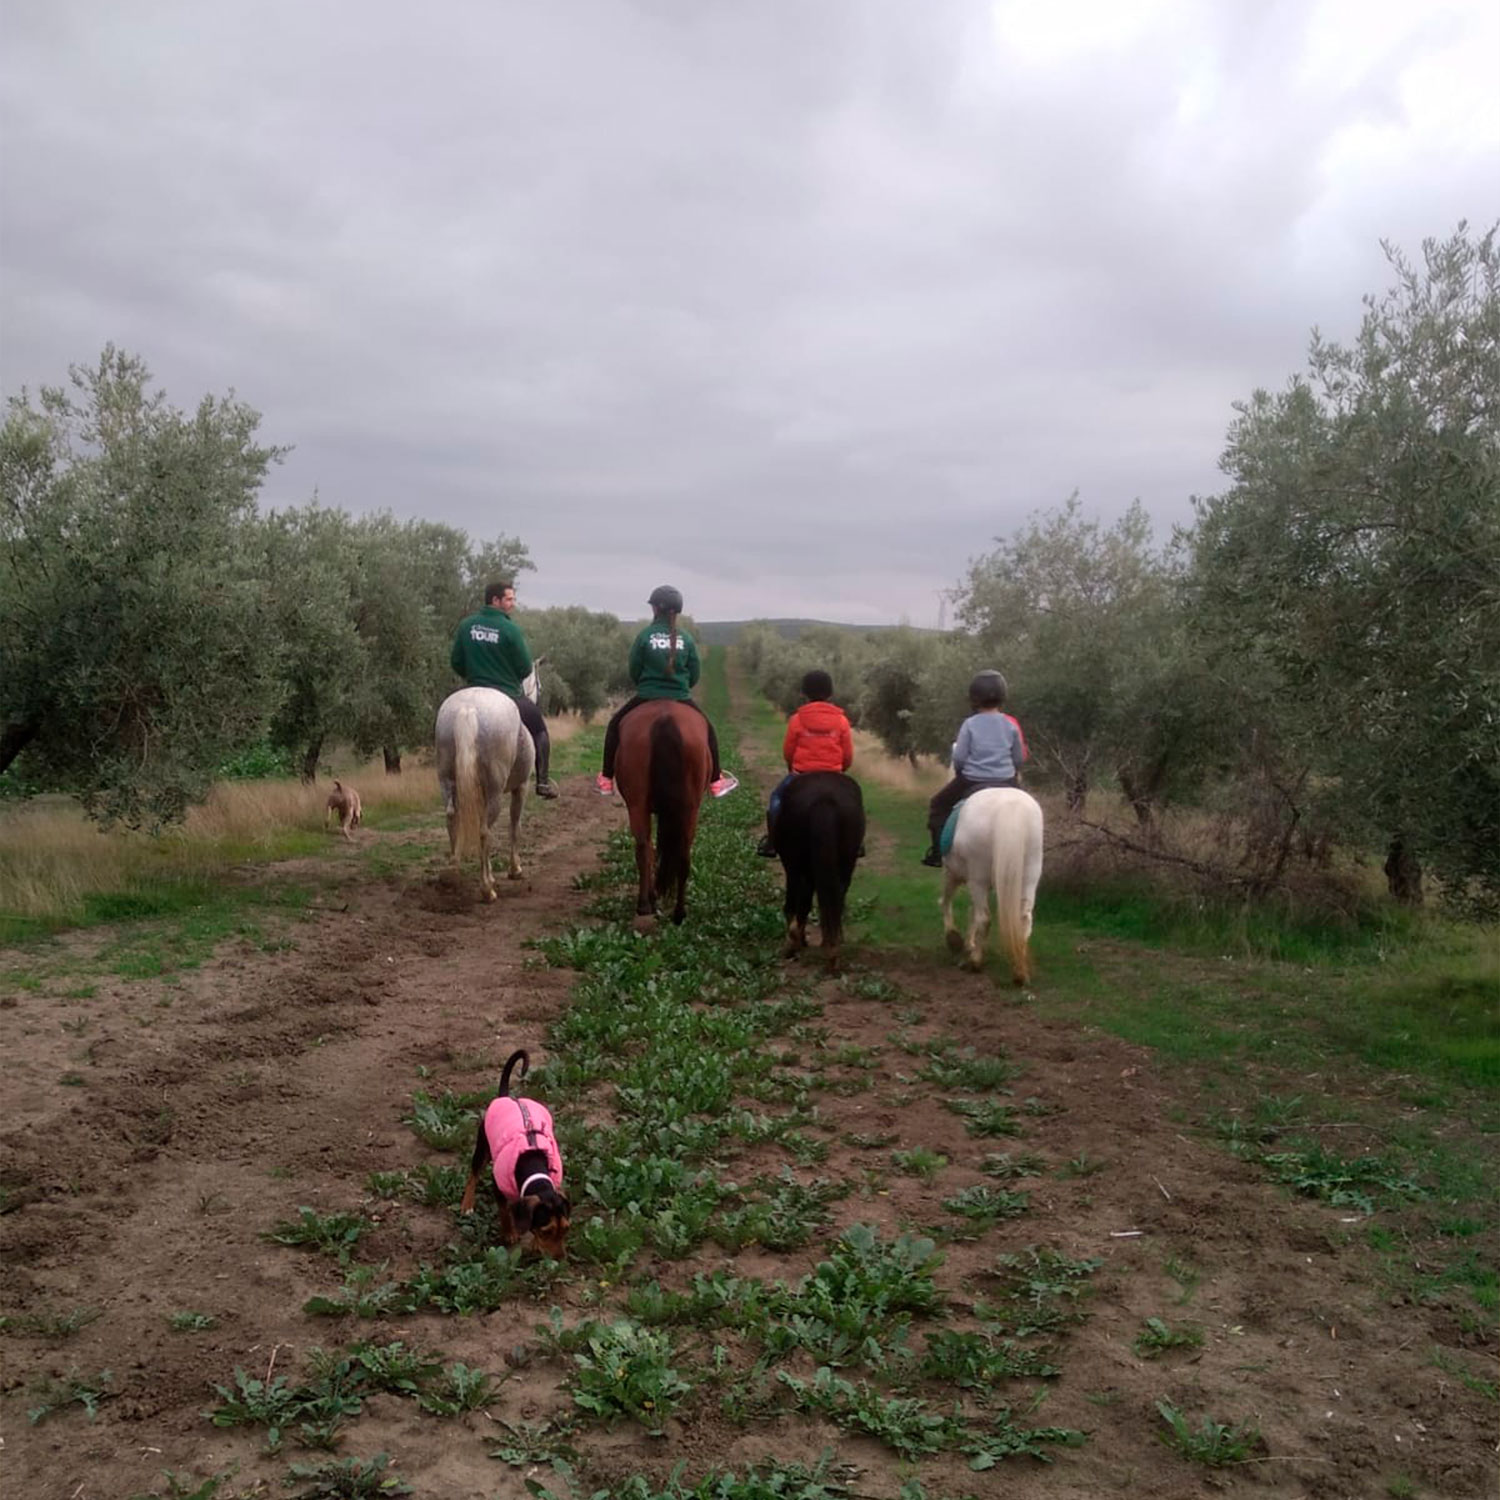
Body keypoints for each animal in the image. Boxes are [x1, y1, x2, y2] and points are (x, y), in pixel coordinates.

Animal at [432, 663, 543, 894]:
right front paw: (515, 869)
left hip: (446, 781)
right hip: (495, 791)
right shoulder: (522, 787)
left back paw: (452, 874)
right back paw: (487, 888)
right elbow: (515, 826)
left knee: (452, 818)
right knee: (484, 831)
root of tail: (468, 709)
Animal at [456, 1050, 567, 1260]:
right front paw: (509, 1234)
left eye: (566, 1229)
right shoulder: (497, 1185)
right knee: (473, 1173)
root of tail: (506, 1097)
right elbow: (504, 1211)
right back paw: (467, 1204)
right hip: (483, 1146)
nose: (559, 1259)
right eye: (546, 1231)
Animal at [618, 702, 717, 924]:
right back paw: (678, 913)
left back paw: (645, 905)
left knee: (644, 848)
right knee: (681, 854)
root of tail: (665, 720)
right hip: (689, 810)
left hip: (638, 805)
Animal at [774, 774, 870, 972]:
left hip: (795, 864)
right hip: (845, 862)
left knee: (798, 901)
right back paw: (831, 949)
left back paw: (794, 944)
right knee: (835, 898)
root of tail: (824, 799)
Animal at [936, 786, 1044, 984]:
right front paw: (968, 943)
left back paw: (976, 962)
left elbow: (947, 901)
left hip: (976, 880)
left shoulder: (953, 874)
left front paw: (954, 939)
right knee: (1024, 919)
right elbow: (971, 911)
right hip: (1030, 877)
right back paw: (1020, 973)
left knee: (984, 917)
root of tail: (1012, 808)